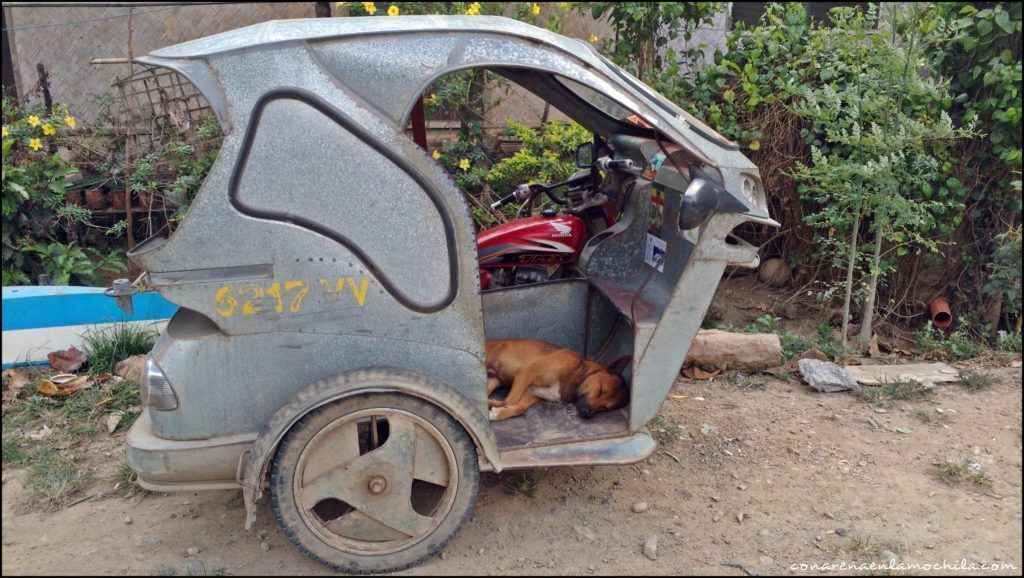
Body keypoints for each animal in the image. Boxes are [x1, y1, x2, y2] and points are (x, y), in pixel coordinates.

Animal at [481, 338, 630, 420]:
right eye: (601, 390)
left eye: (605, 408)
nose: (586, 413)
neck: (577, 371)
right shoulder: (526, 372)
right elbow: (510, 401)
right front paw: (494, 408)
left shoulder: (531, 393)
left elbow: (518, 407)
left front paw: (498, 410)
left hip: (493, 381)